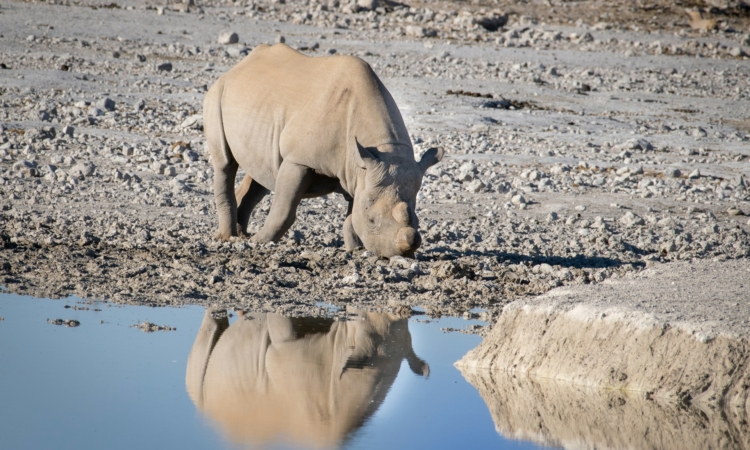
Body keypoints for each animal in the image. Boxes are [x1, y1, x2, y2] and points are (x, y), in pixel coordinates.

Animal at [203, 43, 443, 258]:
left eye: (418, 220)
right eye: (372, 221)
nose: (402, 255)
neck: (383, 146)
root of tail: (238, 67)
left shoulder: (360, 170)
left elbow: (352, 215)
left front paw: (355, 249)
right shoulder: (299, 160)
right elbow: (284, 210)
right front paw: (259, 242)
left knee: (262, 174)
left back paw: (240, 235)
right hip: (217, 93)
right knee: (225, 164)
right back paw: (228, 238)